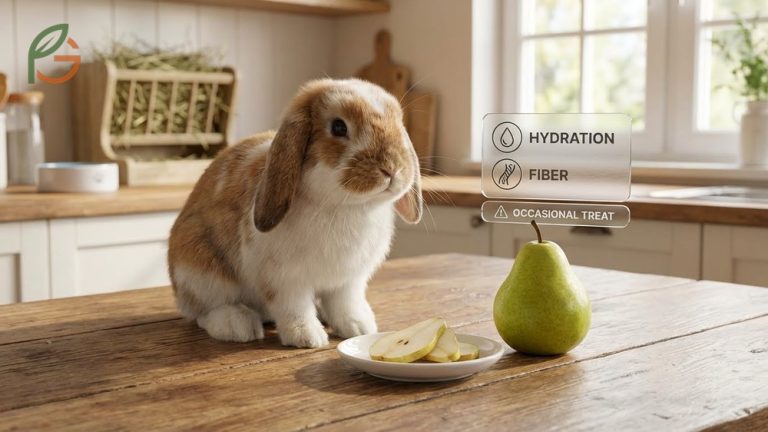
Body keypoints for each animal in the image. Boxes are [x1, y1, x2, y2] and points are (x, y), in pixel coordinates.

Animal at [167, 78, 422, 348]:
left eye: (399, 124)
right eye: (338, 127)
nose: (391, 169)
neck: (346, 206)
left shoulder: (349, 281)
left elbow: (346, 304)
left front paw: (359, 327)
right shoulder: (285, 280)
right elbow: (294, 308)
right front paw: (307, 337)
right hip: (200, 272)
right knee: (203, 312)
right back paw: (238, 325)